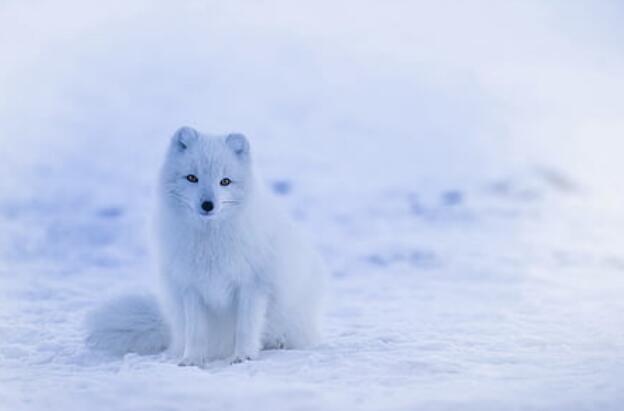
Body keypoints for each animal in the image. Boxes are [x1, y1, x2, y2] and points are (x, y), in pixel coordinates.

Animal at [86, 127, 326, 366]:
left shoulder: (253, 285)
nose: (208, 205)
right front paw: (191, 360)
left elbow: (246, 328)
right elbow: (196, 332)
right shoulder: (191, 287)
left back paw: (277, 343)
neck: (210, 242)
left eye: (225, 181)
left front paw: (243, 356)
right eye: (192, 178)